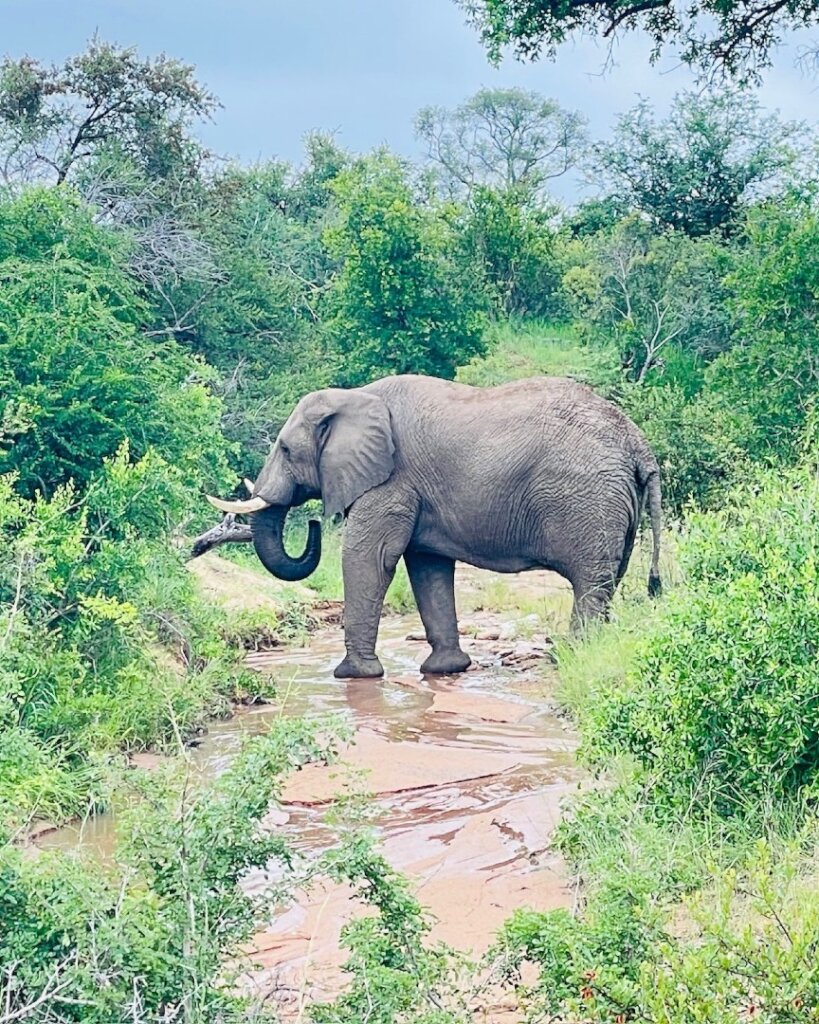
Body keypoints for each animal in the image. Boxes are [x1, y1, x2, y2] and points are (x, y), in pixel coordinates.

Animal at [208, 374, 662, 679]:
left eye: (285, 449)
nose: (317, 522)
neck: (354, 395)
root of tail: (638, 442)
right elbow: (427, 566)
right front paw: (445, 669)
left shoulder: (391, 480)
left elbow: (370, 556)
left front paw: (351, 675)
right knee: (608, 580)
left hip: (590, 501)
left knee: (591, 583)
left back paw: (571, 654)